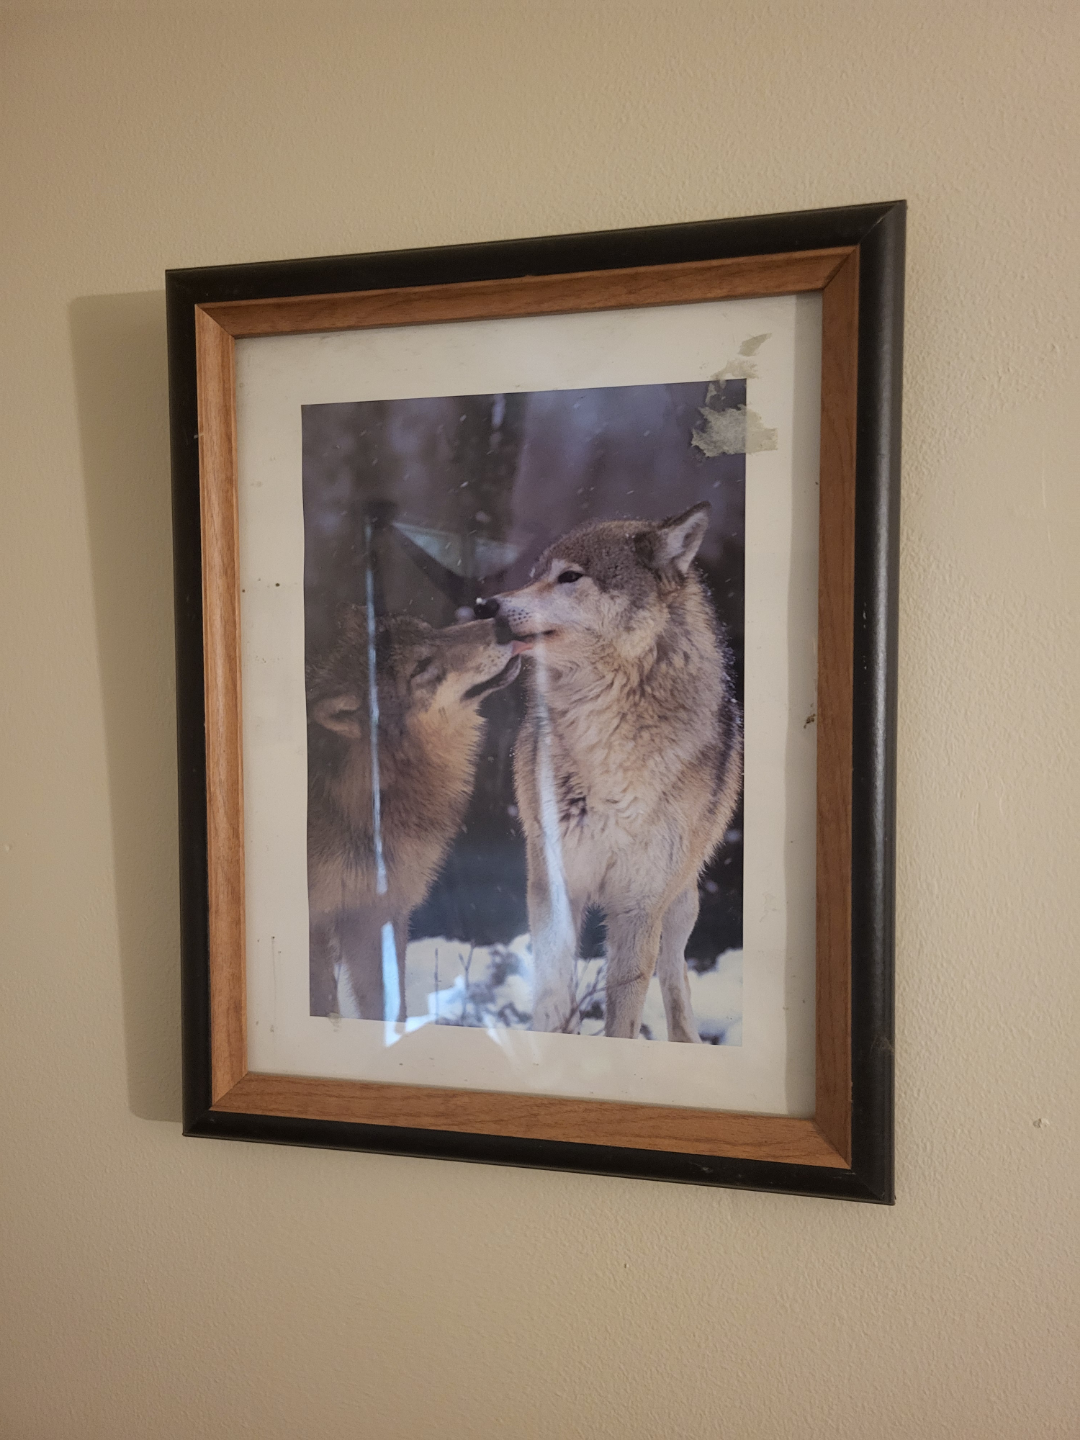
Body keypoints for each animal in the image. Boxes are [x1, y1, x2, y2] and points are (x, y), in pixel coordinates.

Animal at [306, 611, 520, 1021]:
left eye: (432, 632)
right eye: (420, 667)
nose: (502, 621)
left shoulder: (376, 914)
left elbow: (391, 1010)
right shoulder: (316, 923)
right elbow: (324, 1006)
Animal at [488, 502, 742, 1042]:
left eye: (569, 577)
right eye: (535, 575)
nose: (486, 604)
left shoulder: (639, 903)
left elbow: (624, 1010)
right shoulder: (554, 880)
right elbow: (552, 991)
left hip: (681, 900)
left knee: (674, 971)